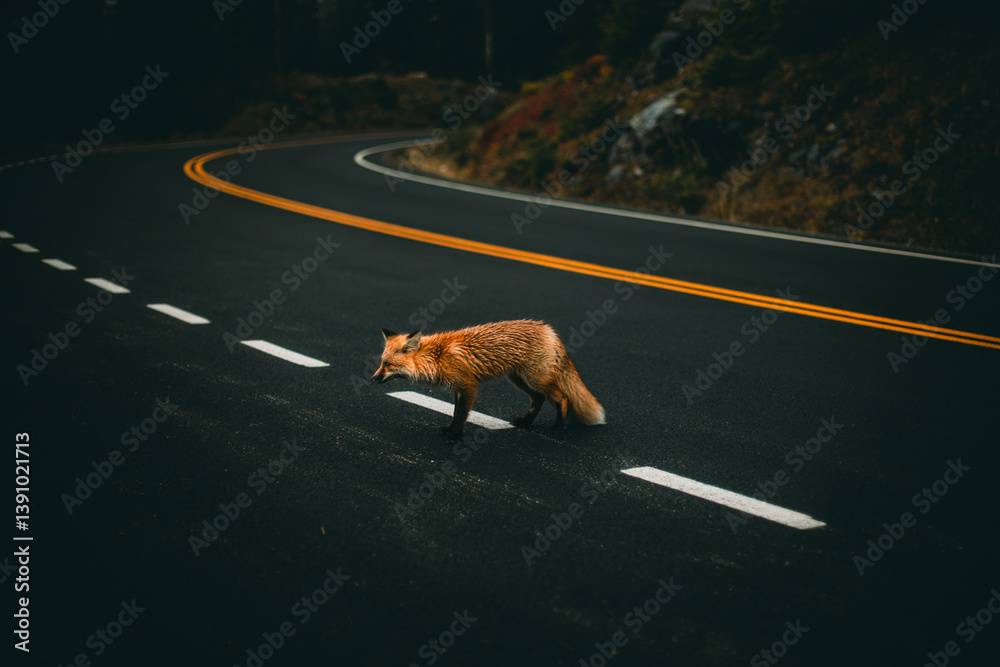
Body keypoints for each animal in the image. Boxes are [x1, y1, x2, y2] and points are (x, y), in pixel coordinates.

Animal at [371, 320, 605, 441]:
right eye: (381, 363)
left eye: (388, 365)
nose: (373, 379)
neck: (436, 357)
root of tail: (548, 329)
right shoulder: (458, 389)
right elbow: (455, 413)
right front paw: (450, 431)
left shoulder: (468, 386)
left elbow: (461, 414)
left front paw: (455, 436)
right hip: (519, 379)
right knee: (538, 399)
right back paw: (526, 422)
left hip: (535, 379)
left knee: (562, 398)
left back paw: (559, 426)